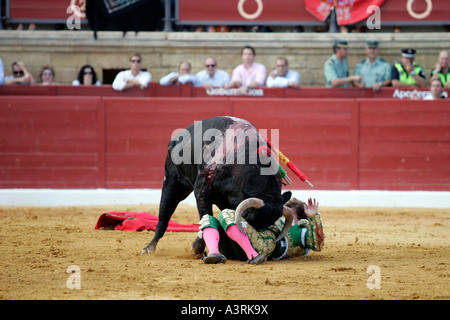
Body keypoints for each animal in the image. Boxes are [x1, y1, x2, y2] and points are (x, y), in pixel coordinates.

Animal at [142, 117, 294, 255]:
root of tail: (177, 138)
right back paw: (149, 248)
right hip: (172, 184)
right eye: (250, 220)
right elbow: (206, 217)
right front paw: (197, 248)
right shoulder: (202, 192)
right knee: (164, 216)